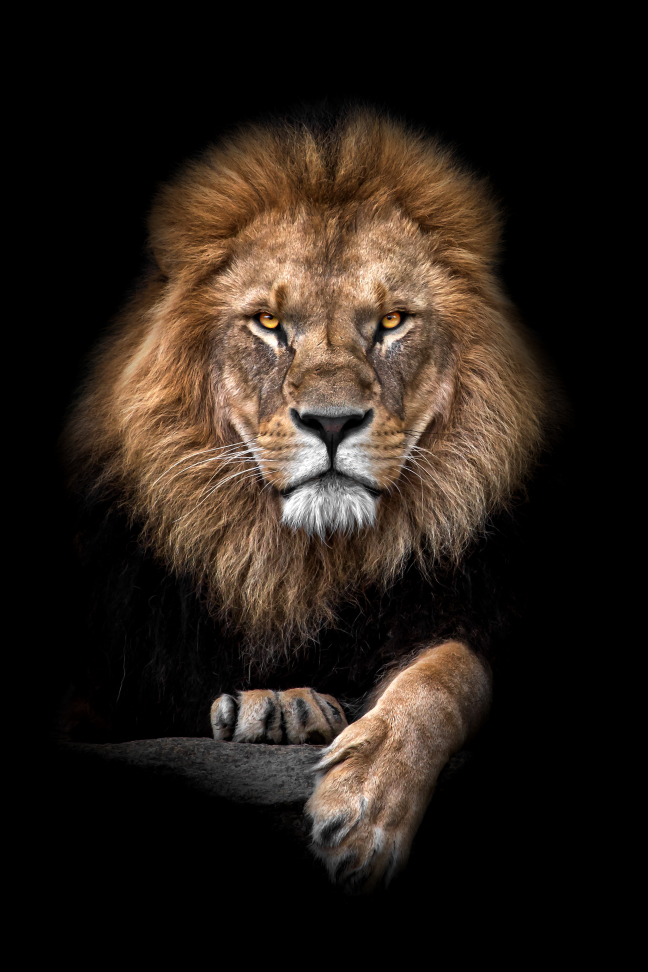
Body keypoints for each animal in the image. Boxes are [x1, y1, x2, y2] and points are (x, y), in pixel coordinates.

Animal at [61, 106, 557, 893]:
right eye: (268, 324)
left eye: (392, 322)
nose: (330, 422)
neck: (301, 566)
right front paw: (279, 705)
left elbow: (450, 671)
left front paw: (367, 805)